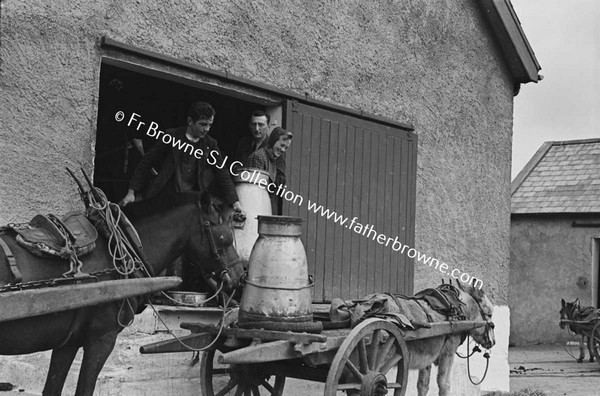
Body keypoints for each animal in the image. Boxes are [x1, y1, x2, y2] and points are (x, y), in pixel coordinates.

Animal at [0, 190, 245, 394]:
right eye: (223, 235)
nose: (239, 276)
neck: (126, 244)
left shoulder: (67, 342)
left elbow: (52, 388)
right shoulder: (102, 338)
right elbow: (84, 389)